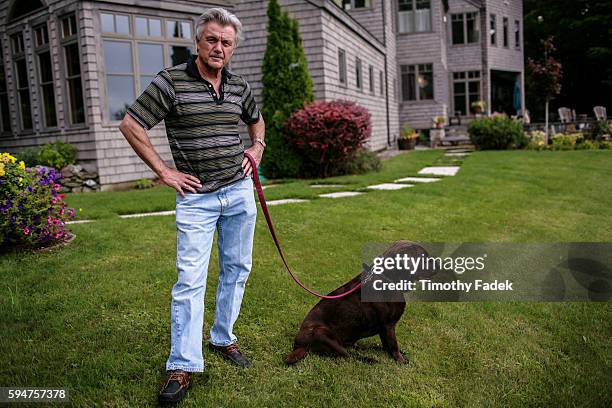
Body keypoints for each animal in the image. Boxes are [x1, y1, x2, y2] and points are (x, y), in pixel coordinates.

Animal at [286, 239, 430, 364]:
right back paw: (369, 359)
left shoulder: (385, 328)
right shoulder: (388, 325)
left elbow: (387, 345)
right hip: (321, 333)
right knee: (347, 355)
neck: (389, 278)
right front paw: (401, 361)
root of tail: (298, 345)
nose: (436, 263)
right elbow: (394, 346)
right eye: (423, 258)